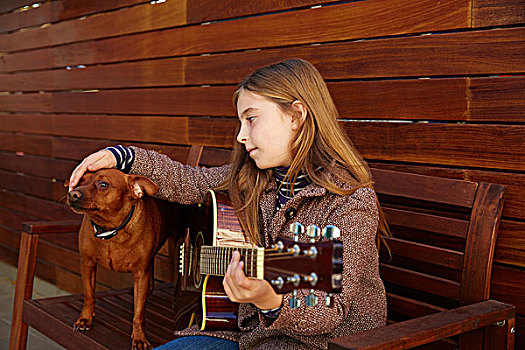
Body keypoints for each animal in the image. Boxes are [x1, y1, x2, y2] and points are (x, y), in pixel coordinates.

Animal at [66, 168, 173, 348]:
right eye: (80, 181)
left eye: (103, 185)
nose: (72, 194)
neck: (110, 229)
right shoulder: (87, 264)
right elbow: (89, 295)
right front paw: (85, 319)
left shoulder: (140, 275)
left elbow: (138, 313)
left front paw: (139, 338)